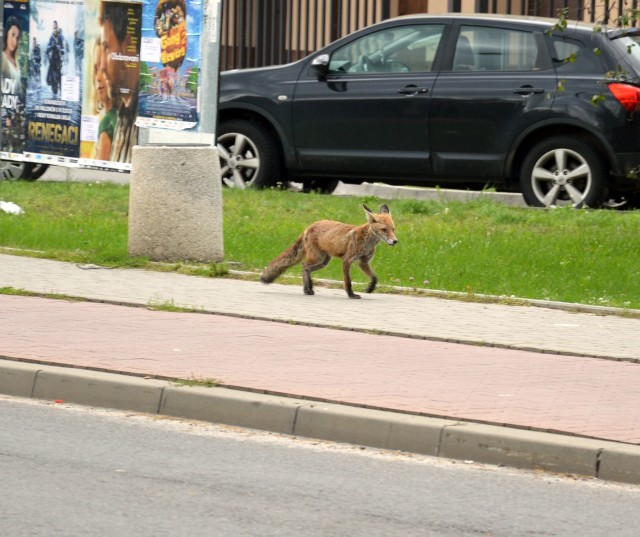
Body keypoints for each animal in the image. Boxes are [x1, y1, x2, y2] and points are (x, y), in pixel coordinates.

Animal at [258, 204, 396, 298]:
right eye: (384, 230)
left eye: (393, 229)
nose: (395, 241)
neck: (367, 241)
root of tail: (309, 227)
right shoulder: (348, 260)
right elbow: (348, 281)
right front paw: (351, 295)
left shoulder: (363, 262)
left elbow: (374, 277)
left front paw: (370, 289)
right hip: (317, 258)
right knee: (304, 266)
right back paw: (307, 289)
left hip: (324, 261)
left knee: (307, 269)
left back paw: (309, 287)